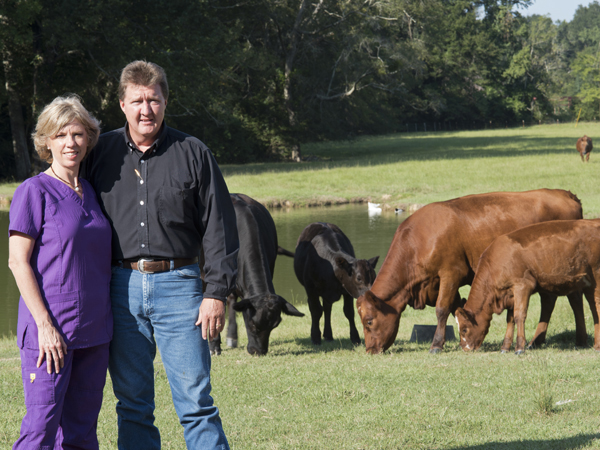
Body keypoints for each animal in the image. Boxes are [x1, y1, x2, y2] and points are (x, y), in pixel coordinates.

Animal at [354, 188, 584, 354]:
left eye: (369, 321)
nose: (369, 350)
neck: (418, 240)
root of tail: (566, 194)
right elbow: (457, 307)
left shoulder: (450, 274)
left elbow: (442, 309)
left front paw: (436, 345)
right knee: (549, 300)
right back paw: (537, 340)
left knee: (573, 299)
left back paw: (578, 338)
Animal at [454, 220, 600, 354]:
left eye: (464, 329)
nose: (465, 348)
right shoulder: (510, 293)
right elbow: (510, 319)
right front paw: (505, 347)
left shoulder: (522, 286)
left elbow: (519, 315)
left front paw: (519, 347)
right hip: (585, 283)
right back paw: (588, 344)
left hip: (595, 279)